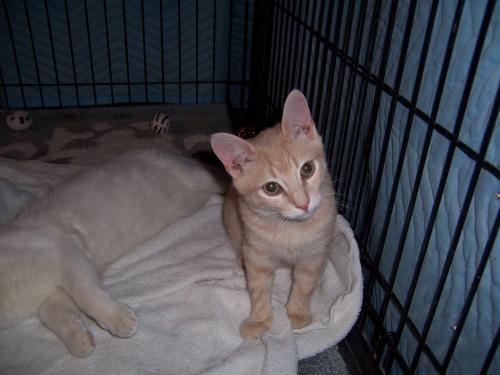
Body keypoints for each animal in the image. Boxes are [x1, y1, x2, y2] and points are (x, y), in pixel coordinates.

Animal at [0, 148, 227, 356]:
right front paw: (79, 341)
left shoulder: (65, 251)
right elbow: (53, 317)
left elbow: (85, 294)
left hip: (197, 177)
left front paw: (118, 319)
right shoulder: (54, 294)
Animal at [209, 89, 338, 340]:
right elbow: (258, 288)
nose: (303, 204)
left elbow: (305, 285)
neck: (290, 228)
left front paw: (298, 312)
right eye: (271, 188)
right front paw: (259, 319)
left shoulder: (314, 254)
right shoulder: (257, 254)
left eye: (307, 169)